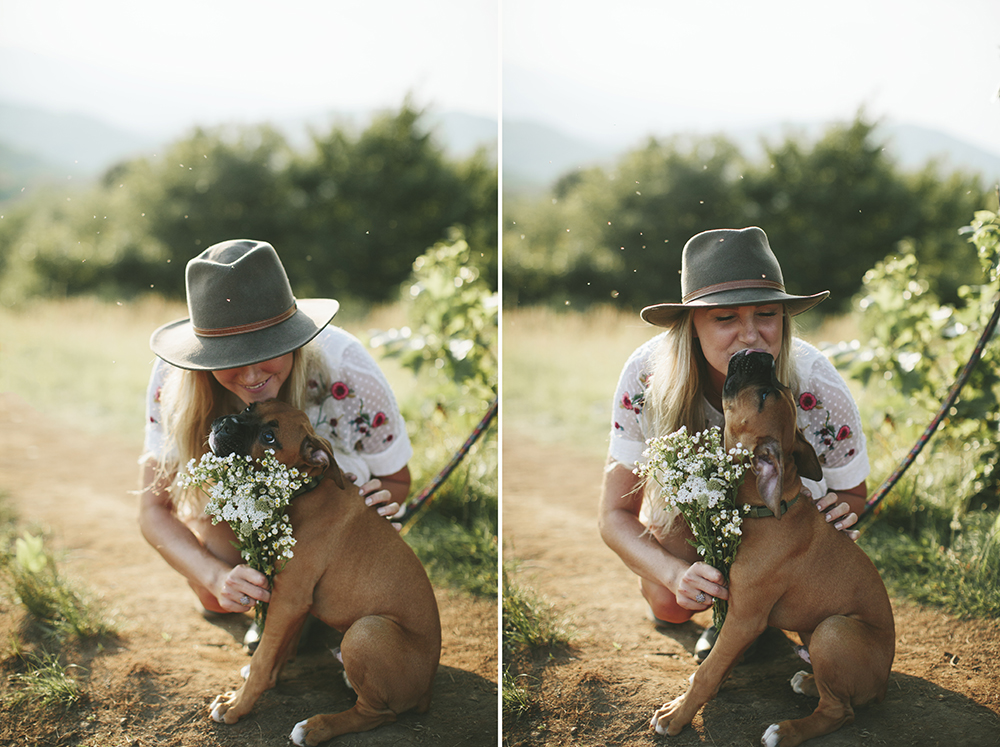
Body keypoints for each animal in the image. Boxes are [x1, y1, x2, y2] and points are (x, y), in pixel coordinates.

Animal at [205, 404, 440, 747]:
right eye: (250, 408)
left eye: (269, 437)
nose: (223, 424)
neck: (304, 491)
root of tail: (427, 691)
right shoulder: (297, 601)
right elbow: (278, 651)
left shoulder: (289, 599)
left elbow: (263, 657)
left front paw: (238, 705)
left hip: (365, 631)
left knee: (378, 714)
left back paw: (315, 727)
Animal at [652, 352, 896, 747]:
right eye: (774, 391)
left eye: (764, 395)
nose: (760, 355)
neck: (766, 510)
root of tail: (884, 684)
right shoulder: (737, 616)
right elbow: (718, 662)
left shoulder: (744, 618)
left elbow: (709, 670)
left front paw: (678, 715)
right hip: (813, 629)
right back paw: (808, 681)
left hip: (832, 630)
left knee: (838, 711)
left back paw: (785, 730)